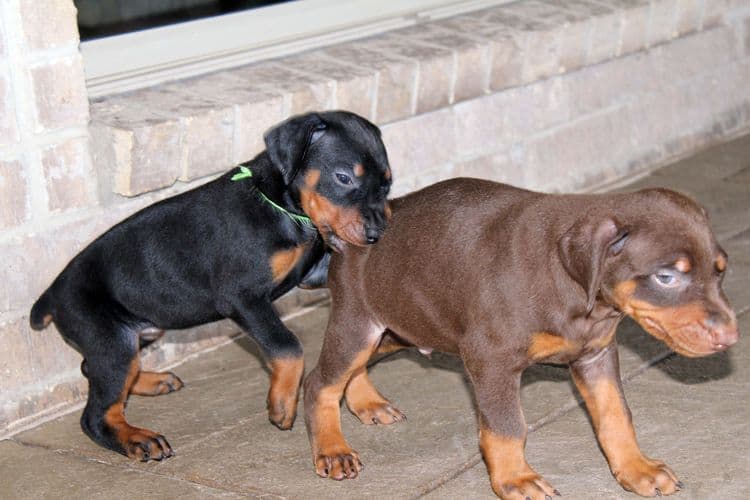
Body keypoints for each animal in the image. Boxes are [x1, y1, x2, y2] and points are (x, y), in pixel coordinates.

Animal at [29, 111, 394, 462]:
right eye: (344, 177)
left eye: (387, 184)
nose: (377, 235)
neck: (279, 204)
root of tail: (52, 295)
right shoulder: (242, 297)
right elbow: (287, 345)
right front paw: (282, 402)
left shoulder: (311, 275)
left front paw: (366, 399)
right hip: (109, 337)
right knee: (95, 414)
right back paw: (137, 438)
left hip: (133, 333)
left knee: (94, 369)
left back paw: (152, 381)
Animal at [306, 180, 740, 500]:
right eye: (667, 277)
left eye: (720, 270)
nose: (731, 336)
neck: (575, 288)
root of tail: (347, 240)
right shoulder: (490, 360)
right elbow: (508, 426)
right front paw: (515, 479)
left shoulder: (596, 354)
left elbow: (616, 414)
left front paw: (637, 469)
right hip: (361, 321)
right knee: (320, 380)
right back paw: (333, 449)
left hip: (403, 324)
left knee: (352, 367)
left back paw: (367, 403)